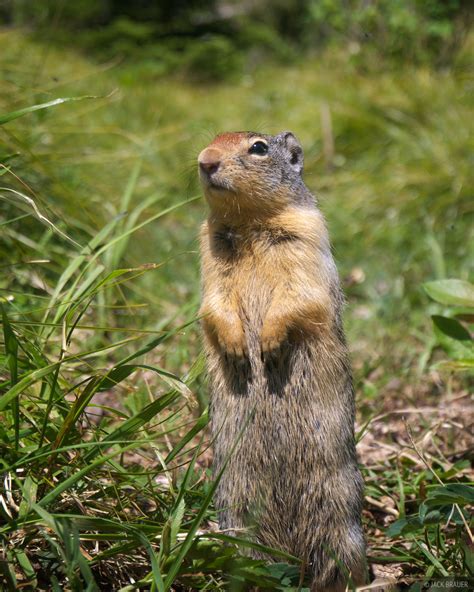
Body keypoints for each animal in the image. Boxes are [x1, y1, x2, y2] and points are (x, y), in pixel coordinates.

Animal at [196, 132, 366, 588]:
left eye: (258, 147)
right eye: (210, 140)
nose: (205, 161)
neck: (250, 223)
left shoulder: (307, 240)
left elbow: (299, 297)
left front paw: (269, 344)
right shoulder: (210, 253)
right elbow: (213, 305)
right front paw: (239, 348)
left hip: (339, 508)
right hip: (237, 505)